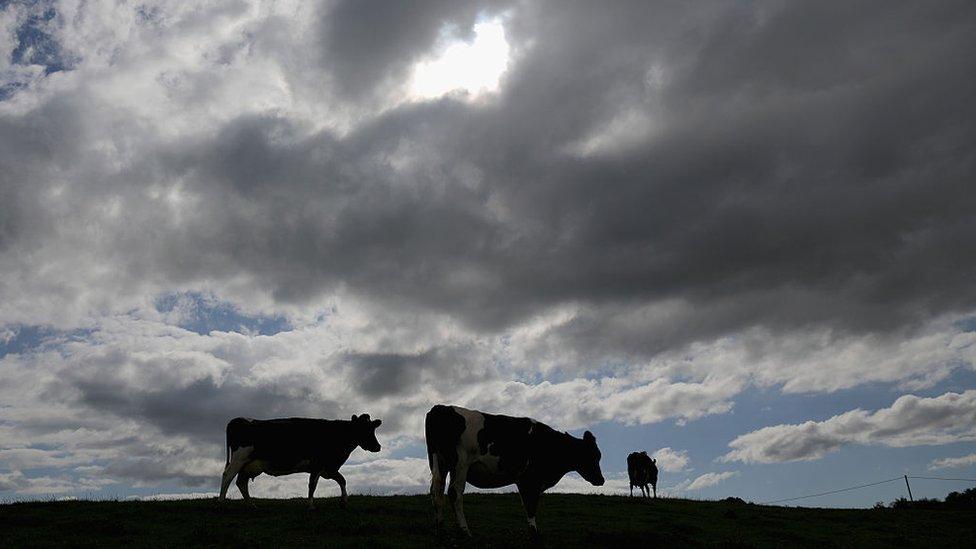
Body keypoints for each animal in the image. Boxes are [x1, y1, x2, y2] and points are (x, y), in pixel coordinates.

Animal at [219, 414, 384, 508]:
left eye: (372, 429)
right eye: (363, 429)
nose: (378, 447)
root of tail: (239, 420)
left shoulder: (329, 468)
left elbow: (342, 480)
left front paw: (343, 501)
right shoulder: (317, 464)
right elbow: (312, 485)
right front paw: (310, 505)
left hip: (249, 465)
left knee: (241, 482)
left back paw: (250, 504)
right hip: (239, 458)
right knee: (227, 476)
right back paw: (221, 503)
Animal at [426, 402, 604, 536]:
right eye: (592, 456)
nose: (601, 480)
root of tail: (441, 407)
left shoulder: (524, 480)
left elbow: (527, 503)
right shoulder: (531, 479)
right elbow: (531, 504)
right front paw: (533, 531)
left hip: (439, 463)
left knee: (437, 491)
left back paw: (440, 527)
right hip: (461, 463)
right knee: (454, 492)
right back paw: (464, 530)